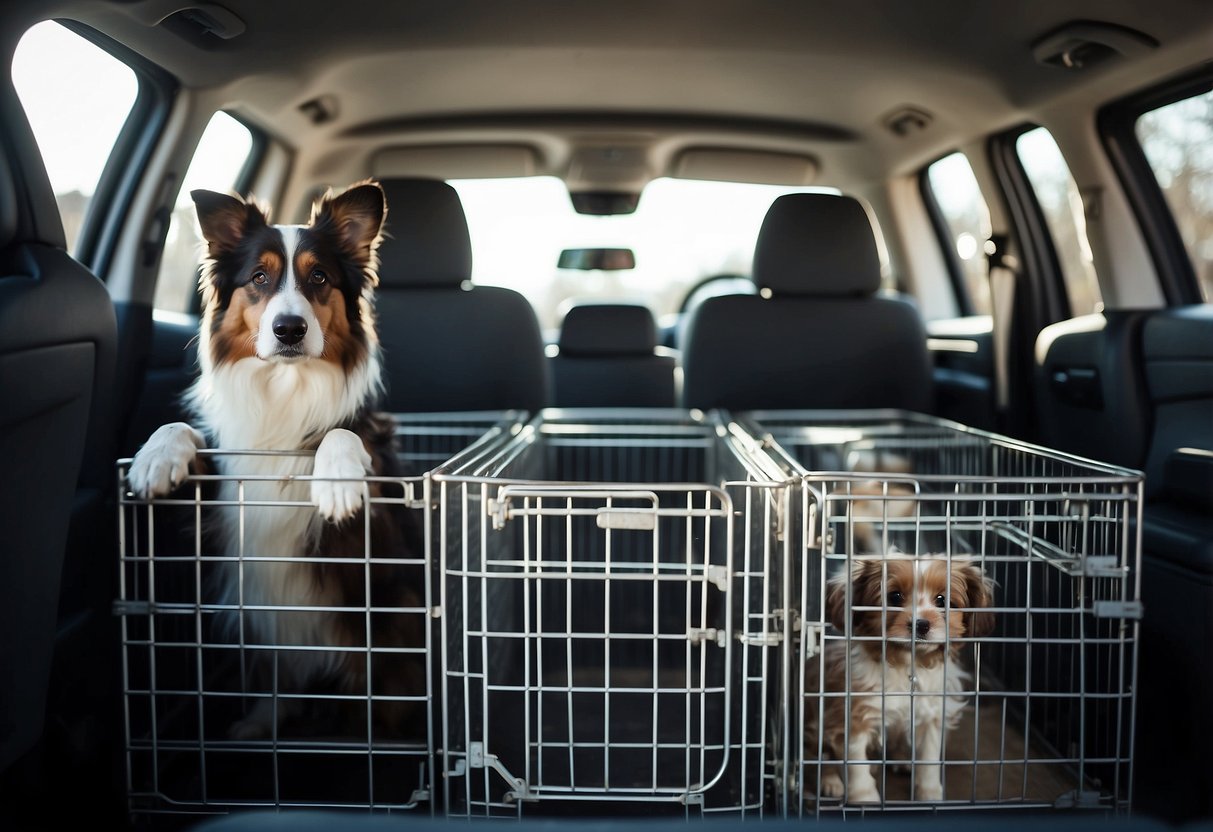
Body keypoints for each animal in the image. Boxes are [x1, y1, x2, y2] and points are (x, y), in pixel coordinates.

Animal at [800, 557, 989, 805]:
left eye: (942, 600)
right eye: (895, 597)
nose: (921, 624)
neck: (907, 664)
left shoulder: (933, 715)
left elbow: (929, 759)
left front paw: (929, 792)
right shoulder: (853, 716)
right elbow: (856, 763)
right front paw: (864, 796)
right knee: (821, 758)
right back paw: (831, 782)